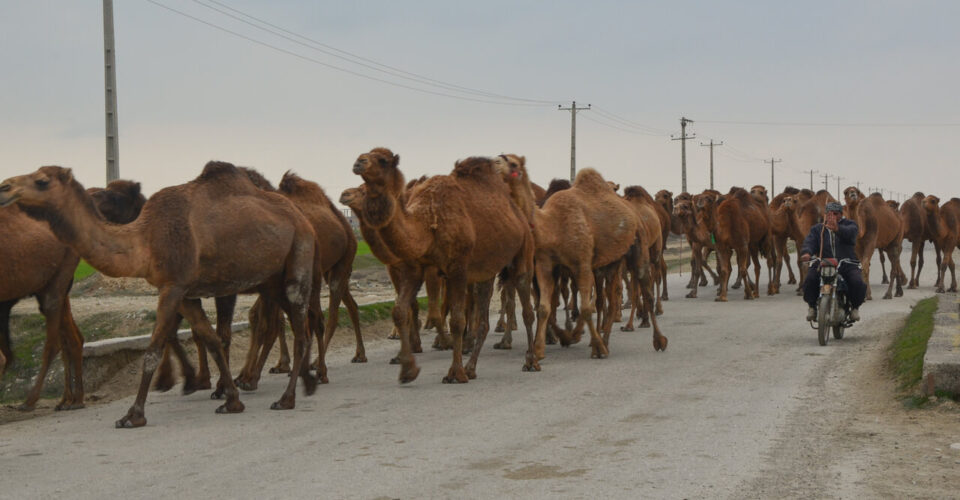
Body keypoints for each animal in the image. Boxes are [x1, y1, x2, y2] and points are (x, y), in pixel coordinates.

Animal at [348, 149, 536, 382]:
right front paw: (408, 368)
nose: (359, 162)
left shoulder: (458, 269)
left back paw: (531, 361)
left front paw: (455, 372)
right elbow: (400, 311)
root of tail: (520, 215)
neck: (426, 222)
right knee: (484, 320)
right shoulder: (415, 268)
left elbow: (457, 320)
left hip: (523, 255)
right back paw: (472, 368)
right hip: (487, 271)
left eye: (383, 160)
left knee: (527, 309)